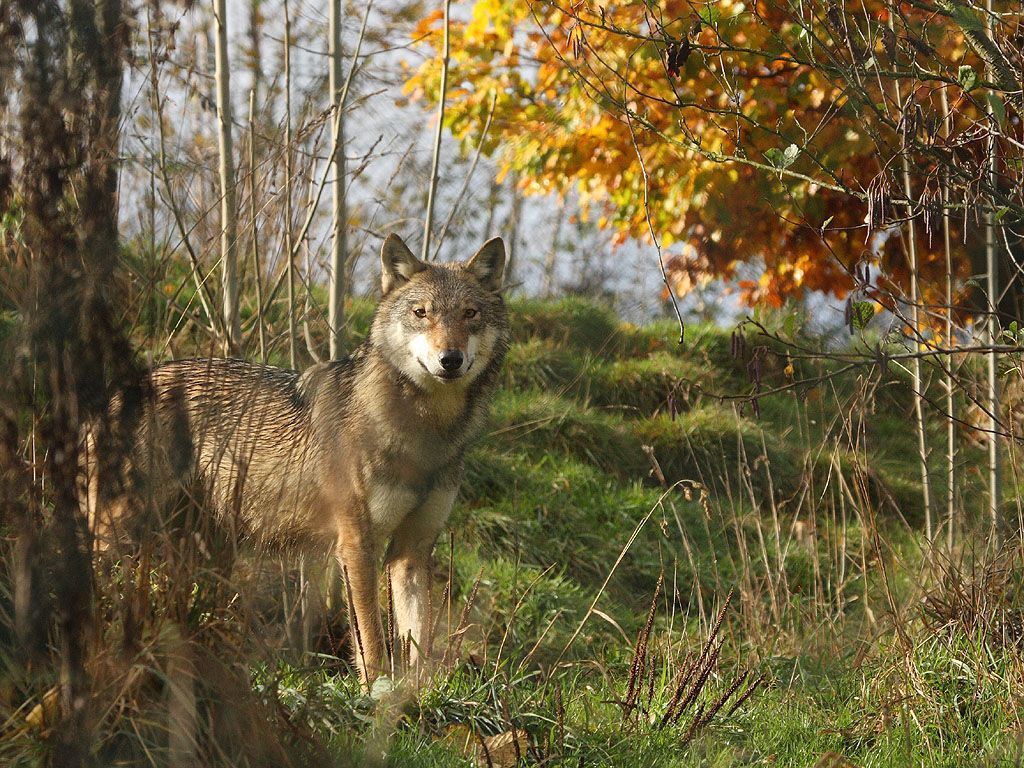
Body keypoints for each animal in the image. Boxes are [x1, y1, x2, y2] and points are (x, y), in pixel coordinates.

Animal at [82, 234, 507, 684]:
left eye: (470, 314)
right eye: (421, 313)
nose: (450, 359)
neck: (427, 434)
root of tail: (118, 390)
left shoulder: (412, 550)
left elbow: (418, 643)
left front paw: (415, 695)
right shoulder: (357, 545)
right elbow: (372, 641)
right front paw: (376, 690)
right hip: (119, 531)